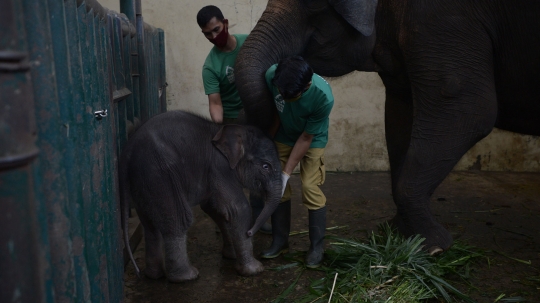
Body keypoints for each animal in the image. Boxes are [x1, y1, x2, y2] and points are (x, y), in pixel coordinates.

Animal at [120, 111, 282, 282]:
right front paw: (255, 270)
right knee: (178, 219)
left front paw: (231, 256)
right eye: (266, 166)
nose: (250, 232)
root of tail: (127, 153)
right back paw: (187, 277)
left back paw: (154, 276)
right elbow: (238, 209)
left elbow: (215, 209)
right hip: (160, 175)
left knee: (150, 226)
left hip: (142, 183)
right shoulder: (220, 167)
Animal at [235, 0, 540, 253]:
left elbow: (468, 108)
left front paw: (434, 247)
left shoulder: (444, 20)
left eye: (313, 5)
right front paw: (400, 234)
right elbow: (398, 114)